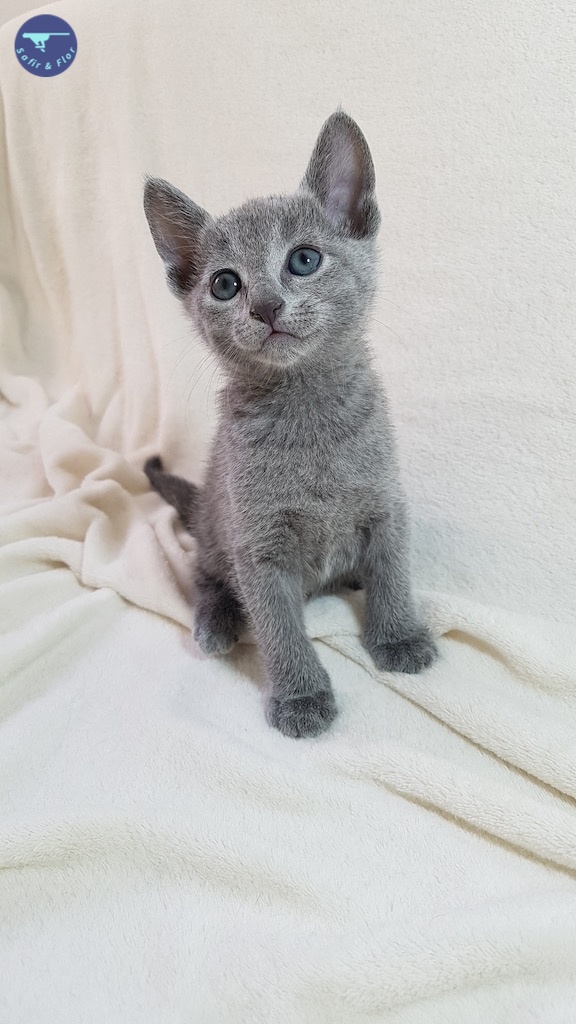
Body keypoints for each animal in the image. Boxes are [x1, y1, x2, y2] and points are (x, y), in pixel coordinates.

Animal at [143, 110, 438, 739]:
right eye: (225, 284)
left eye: (304, 259)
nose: (266, 305)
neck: (305, 407)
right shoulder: (258, 544)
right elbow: (279, 627)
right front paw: (302, 697)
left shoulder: (385, 501)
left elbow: (393, 569)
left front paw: (399, 635)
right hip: (216, 523)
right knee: (205, 572)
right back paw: (216, 622)